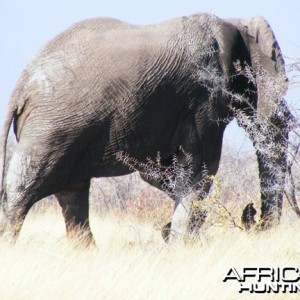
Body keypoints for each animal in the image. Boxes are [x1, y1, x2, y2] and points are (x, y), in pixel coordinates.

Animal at [0, 12, 292, 245]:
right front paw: (180, 244)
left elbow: (160, 173)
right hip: (52, 126)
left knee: (73, 193)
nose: (251, 213)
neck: (234, 23)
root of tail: (22, 85)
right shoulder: (205, 96)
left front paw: (174, 234)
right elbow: (199, 169)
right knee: (24, 188)